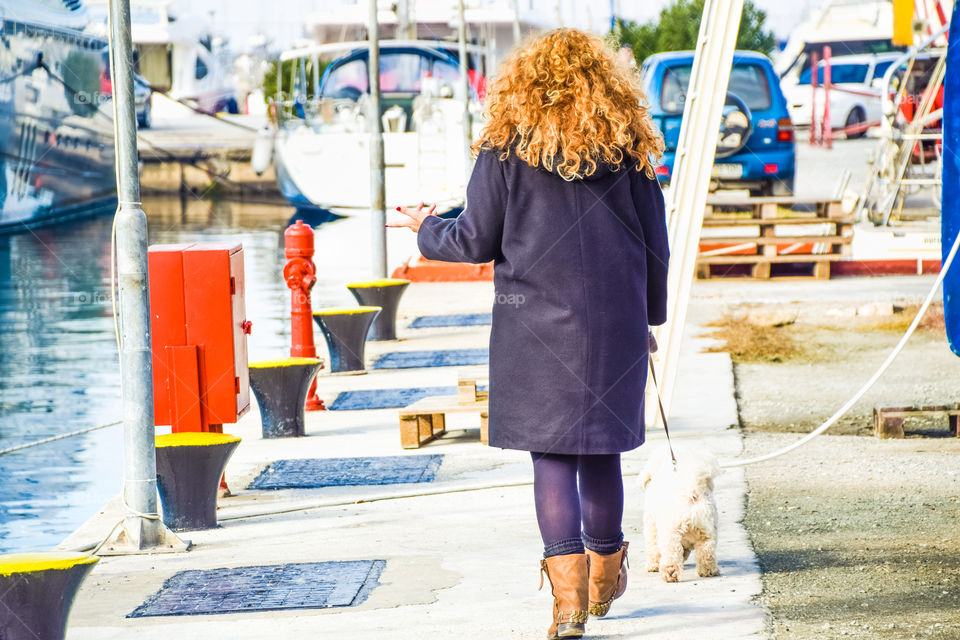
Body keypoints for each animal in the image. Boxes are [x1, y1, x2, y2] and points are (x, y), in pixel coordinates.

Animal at [640, 448, 716, 584]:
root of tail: (692, 493)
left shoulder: (651, 527)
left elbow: (653, 547)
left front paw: (653, 566)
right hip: (706, 530)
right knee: (706, 550)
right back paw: (708, 571)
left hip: (671, 534)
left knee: (671, 556)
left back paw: (670, 575)